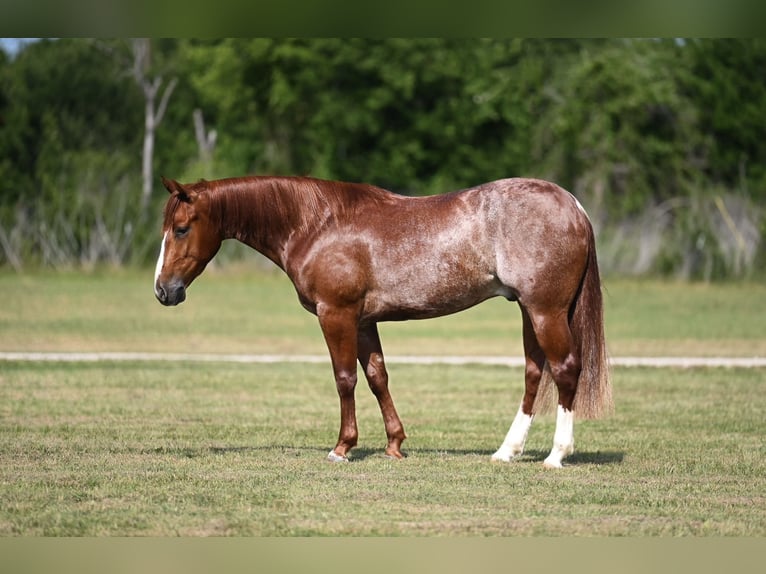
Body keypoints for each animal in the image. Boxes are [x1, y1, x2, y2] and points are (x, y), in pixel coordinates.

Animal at [154, 175, 612, 468]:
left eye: (181, 228)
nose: (163, 291)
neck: (318, 223)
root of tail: (572, 204)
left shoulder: (336, 315)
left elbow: (345, 379)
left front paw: (342, 447)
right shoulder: (362, 322)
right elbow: (377, 377)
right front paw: (395, 444)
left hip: (545, 311)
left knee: (566, 369)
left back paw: (556, 455)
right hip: (528, 312)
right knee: (535, 373)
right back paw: (506, 451)